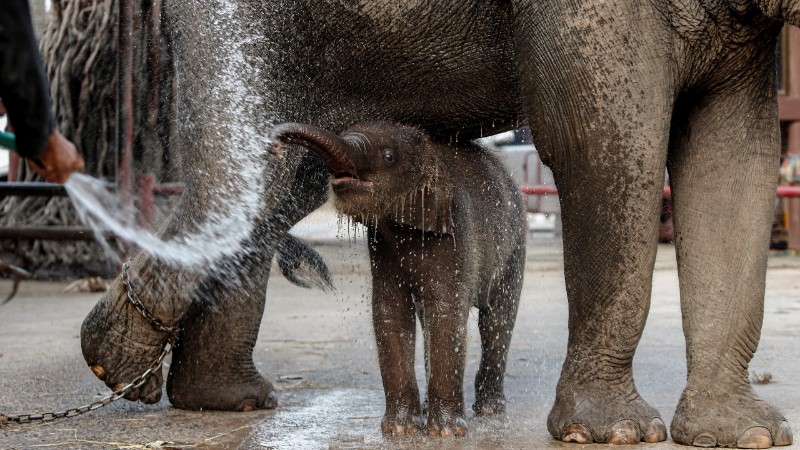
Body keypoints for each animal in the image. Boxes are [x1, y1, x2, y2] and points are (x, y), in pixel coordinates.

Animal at [272, 121, 528, 438]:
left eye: (389, 157)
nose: (276, 145)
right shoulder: (381, 247)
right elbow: (390, 312)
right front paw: (400, 430)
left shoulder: (457, 234)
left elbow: (447, 312)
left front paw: (445, 433)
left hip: (515, 245)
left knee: (497, 319)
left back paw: (490, 410)